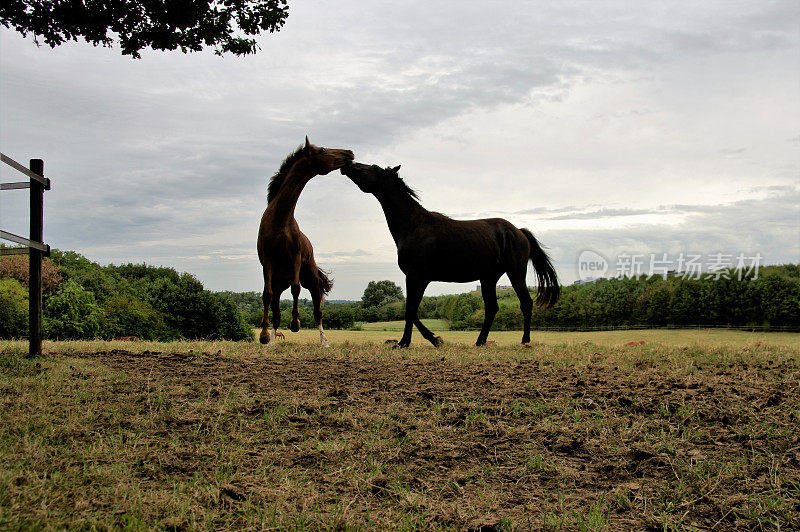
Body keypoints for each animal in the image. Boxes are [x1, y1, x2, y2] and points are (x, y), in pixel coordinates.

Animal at [258, 137, 354, 344]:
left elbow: (296, 289)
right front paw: (263, 336)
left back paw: (324, 342)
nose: (350, 152)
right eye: (323, 150)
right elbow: (266, 295)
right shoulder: (267, 261)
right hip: (280, 284)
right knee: (276, 312)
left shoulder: (295, 256)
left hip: (312, 281)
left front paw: (295, 324)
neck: (280, 221)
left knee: (318, 311)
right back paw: (271, 340)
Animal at [340, 162, 560, 348]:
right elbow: (412, 309)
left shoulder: (416, 276)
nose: (348, 164)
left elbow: (410, 309)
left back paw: (525, 341)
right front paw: (425, 340)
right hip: (489, 278)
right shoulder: (418, 278)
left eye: (374, 168)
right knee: (492, 308)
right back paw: (480, 342)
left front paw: (414, 341)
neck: (413, 226)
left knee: (525, 303)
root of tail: (519, 231)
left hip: (515, 272)